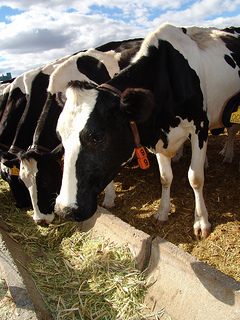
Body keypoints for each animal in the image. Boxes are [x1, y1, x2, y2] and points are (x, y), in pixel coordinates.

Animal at [55, 23, 240, 238]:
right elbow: (165, 177)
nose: (64, 210)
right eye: (59, 136)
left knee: (232, 133)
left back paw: (227, 154)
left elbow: (195, 177)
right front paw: (162, 212)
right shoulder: (156, 135)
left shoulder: (200, 126)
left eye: (98, 137)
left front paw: (201, 221)